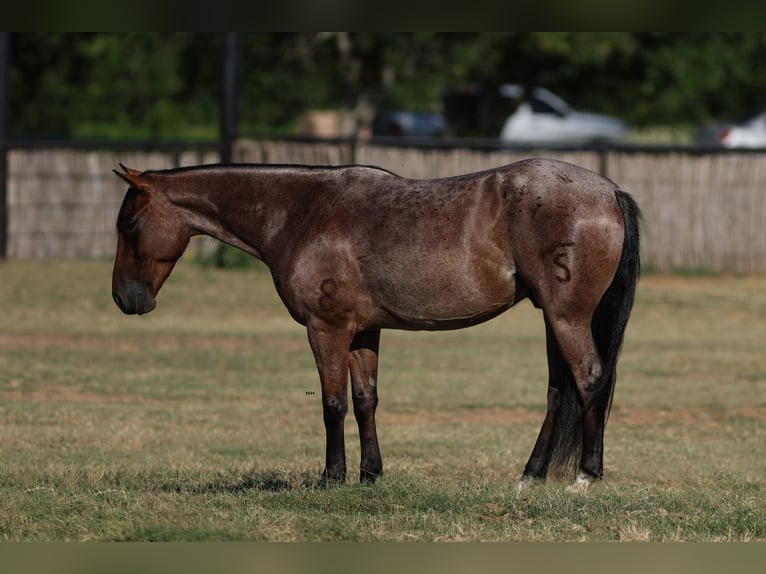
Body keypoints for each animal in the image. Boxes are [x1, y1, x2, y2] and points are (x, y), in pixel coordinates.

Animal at [112, 160, 640, 492]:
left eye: (128, 225)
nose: (124, 299)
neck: (302, 212)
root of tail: (608, 191)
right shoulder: (362, 332)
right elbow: (366, 400)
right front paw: (370, 474)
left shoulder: (325, 329)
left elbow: (333, 404)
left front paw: (331, 477)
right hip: (553, 319)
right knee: (558, 391)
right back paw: (530, 475)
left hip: (567, 317)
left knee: (590, 379)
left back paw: (585, 476)